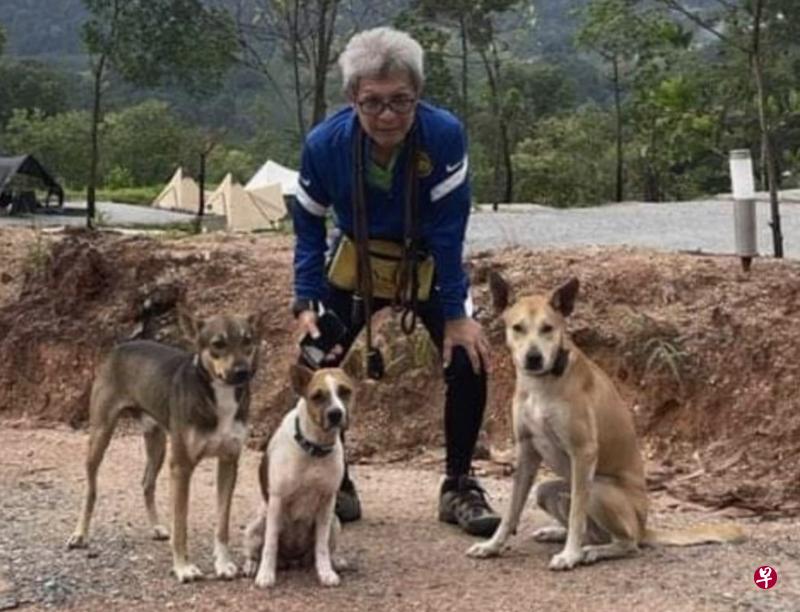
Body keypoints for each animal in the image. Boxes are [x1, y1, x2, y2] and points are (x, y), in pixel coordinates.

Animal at [68, 310, 262, 584]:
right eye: (218, 344)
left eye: (247, 341)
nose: (243, 372)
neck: (217, 395)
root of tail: (121, 346)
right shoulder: (181, 467)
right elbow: (181, 524)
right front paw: (183, 567)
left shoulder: (228, 462)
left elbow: (222, 523)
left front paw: (223, 564)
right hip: (100, 435)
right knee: (91, 489)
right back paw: (80, 534)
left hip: (157, 443)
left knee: (147, 483)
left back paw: (157, 527)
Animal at [241, 364, 354, 588]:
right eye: (317, 396)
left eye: (345, 391)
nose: (336, 414)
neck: (314, 448)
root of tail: (292, 560)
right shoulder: (277, 500)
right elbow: (270, 544)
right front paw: (265, 575)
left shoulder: (327, 502)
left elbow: (322, 547)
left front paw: (325, 572)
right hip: (259, 521)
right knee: (254, 550)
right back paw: (251, 565)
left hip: (335, 521)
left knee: (326, 548)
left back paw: (336, 560)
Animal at [466, 274, 740, 572]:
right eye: (518, 328)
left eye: (548, 328)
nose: (533, 358)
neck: (541, 384)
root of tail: (644, 527)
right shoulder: (527, 451)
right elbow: (511, 511)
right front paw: (493, 546)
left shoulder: (583, 451)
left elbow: (577, 514)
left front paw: (570, 555)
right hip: (547, 490)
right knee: (591, 530)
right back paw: (559, 534)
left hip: (598, 489)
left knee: (627, 543)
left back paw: (590, 552)